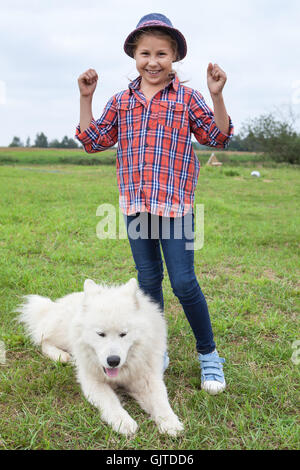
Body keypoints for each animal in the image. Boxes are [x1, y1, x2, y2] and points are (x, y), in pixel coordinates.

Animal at [18, 278, 185, 436]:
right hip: (62, 334)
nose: (113, 361)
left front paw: (170, 423)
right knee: (43, 340)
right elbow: (111, 401)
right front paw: (123, 422)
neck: (122, 372)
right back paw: (61, 356)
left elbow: (161, 401)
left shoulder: (148, 378)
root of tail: (54, 305)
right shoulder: (93, 382)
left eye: (123, 334)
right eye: (100, 334)